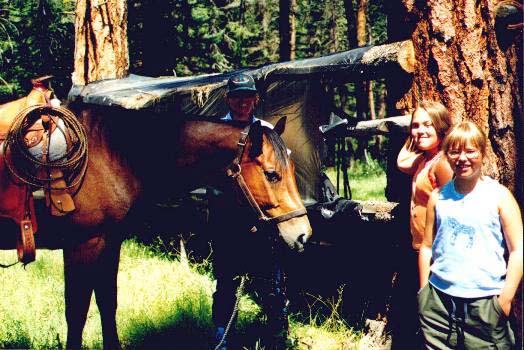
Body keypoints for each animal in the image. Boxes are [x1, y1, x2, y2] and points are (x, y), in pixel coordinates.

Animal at [0, 94, 312, 348]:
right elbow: (76, 313)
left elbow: (107, 303)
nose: (303, 234)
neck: (111, 153)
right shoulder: (82, 245)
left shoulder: (110, 242)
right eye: (272, 174)